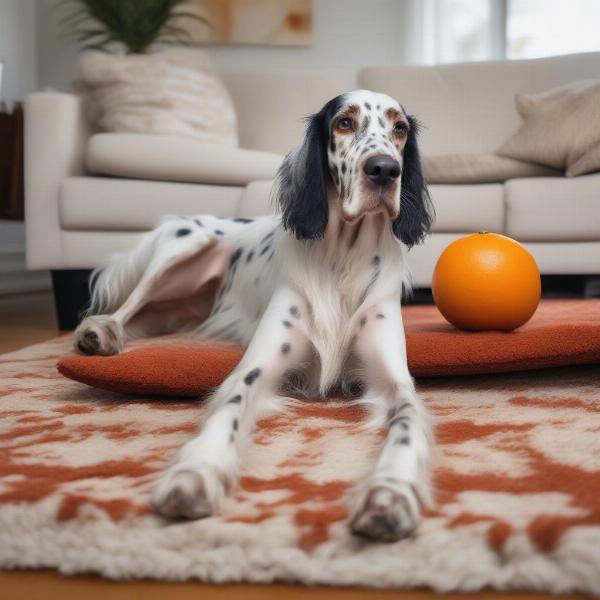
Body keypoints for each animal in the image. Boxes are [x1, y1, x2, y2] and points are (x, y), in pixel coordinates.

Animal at [76, 90, 436, 544]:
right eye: (344, 123)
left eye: (399, 128)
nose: (385, 170)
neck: (343, 258)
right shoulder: (254, 368)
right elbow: (228, 407)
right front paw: (196, 471)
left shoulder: (394, 381)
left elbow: (405, 426)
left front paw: (390, 493)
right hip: (182, 247)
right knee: (128, 305)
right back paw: (100, 332)